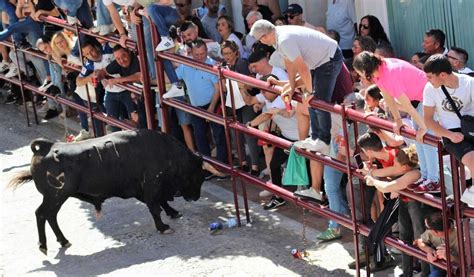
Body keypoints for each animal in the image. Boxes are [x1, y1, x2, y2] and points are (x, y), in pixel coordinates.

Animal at [8, 130, 206, 253]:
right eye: (198, 175)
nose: (195, 197)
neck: (167, 153)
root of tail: (46, 146)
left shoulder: (143, 190)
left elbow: (160, 202)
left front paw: (173, 213)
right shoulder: (151, 186)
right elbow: (155, 207)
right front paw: (163, 227)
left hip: (56, 198)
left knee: (50, 215)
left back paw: (63, 241)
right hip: (56, 196)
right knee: (42, 214)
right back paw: (45, 245)